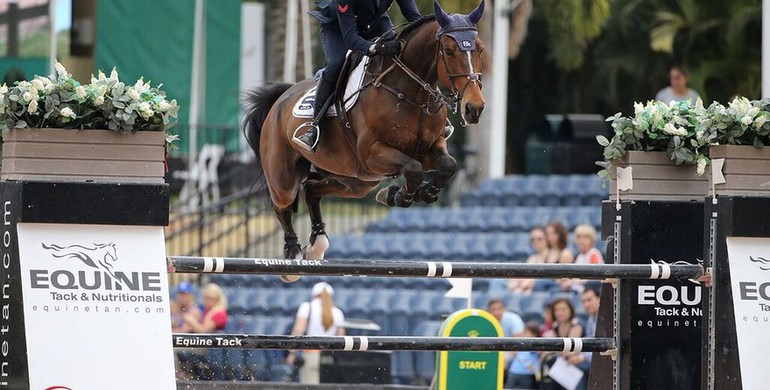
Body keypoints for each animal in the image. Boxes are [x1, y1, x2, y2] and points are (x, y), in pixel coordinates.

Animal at [243, 0, 486, 266]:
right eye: (449, 50)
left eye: (480, 50)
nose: (474, 108)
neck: (409, 91)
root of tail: (281, 99)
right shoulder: (372, 153)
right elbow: (413, 169)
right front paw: (398, 195)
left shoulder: (431, 148)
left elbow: (448, 165)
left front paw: (423, 193)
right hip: (285, 175)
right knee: (282, 204)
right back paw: (293, 250)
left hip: (355, 181)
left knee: (312, 189)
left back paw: (317, 244)